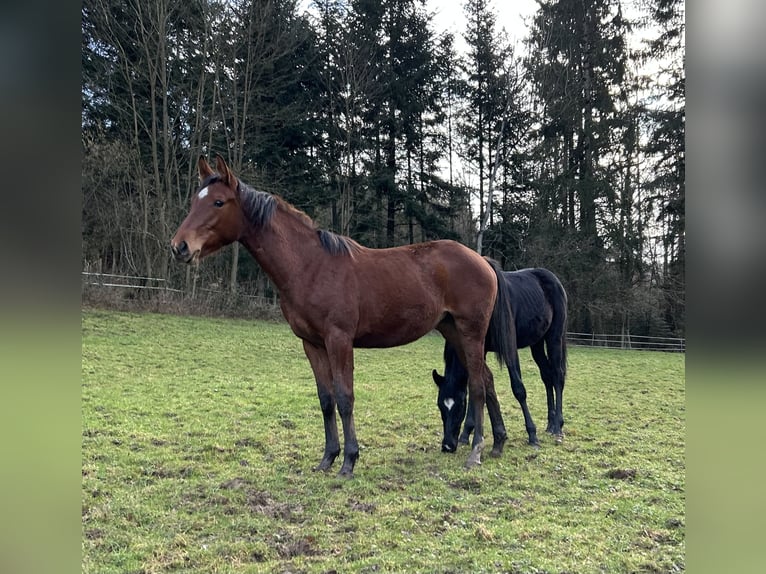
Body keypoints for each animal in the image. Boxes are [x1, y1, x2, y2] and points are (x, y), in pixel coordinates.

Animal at [170, 154, 517, 477]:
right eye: (195, 200)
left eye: (218, 202)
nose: (180, 247)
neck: (310, 266)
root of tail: (482, 261)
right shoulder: (312, 343)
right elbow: (326, 399)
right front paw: (328, 458)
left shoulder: (339, 340)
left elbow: (345, 396)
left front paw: (349, 460)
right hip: (453, 331)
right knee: (487, 380)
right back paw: (497, 443)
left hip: (471, 332)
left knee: (477, 385)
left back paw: (476, 451)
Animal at [432, 267, 568, 453]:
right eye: (440, 405)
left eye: (459, 406)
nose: (447, 446)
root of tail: (552, 278)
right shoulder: (478, 350)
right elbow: (476, 387)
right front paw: (466, 433)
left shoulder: (509, 347)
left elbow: (519, 389)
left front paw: (532, 435)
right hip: (537, 343)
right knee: (547, 376)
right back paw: (550, 423)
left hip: (554, 337)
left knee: (557, 376)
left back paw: (558, 426)